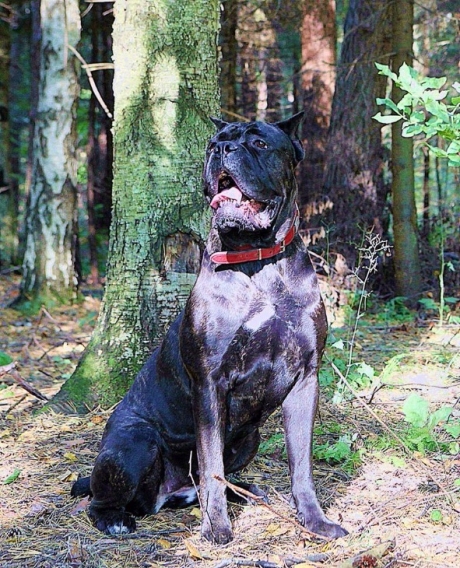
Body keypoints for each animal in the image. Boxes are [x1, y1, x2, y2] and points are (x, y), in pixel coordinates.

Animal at [71, 113, 348, 544]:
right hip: (134, 442)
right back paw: (117, 519)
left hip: (248, 438)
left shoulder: (305, 379)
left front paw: (314, 519)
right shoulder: (210, 384)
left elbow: (301, 464)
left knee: (205, 478)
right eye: (212, 144)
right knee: (103, 499)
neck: (257, 261)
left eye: (259, 143)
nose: (222, 149)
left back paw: (246, 491)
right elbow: (211, 464)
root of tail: (169, 494)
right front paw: (216, 527)